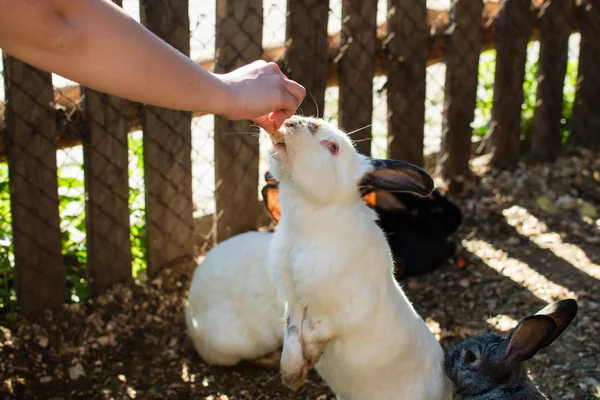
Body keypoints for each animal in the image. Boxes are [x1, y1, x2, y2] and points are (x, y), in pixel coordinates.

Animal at [264, 116, 452, 400]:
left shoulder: (347, 311)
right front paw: (293, 373)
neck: (307, 219)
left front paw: (312, 356)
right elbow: (293, 332)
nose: (289, 122)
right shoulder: (292, 301)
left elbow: (313, 330)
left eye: (332, 147)